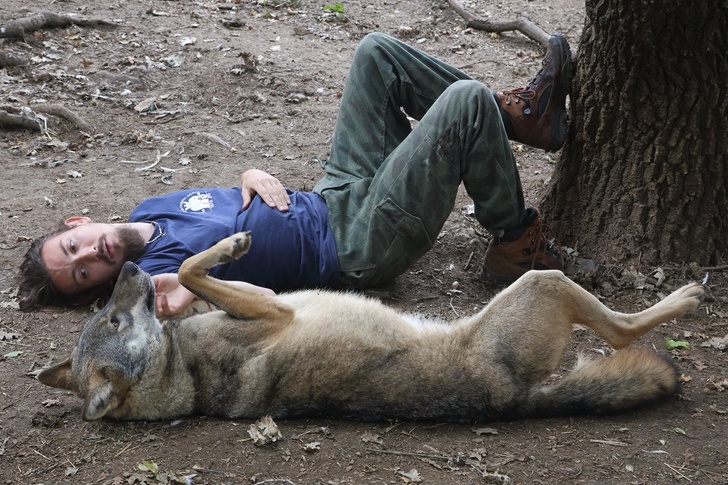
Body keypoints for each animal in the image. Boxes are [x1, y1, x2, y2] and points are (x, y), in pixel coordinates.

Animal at [35, 231, 704, 420]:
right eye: (113, 314)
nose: (130, 266)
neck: (184, 373)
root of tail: (514, 400)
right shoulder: (274, 308)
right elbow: (195, 267)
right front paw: (231, 243)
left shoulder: (257, 302)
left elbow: (193, 274)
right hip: (544, 282)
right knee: (622, 332)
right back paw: (687, 296)